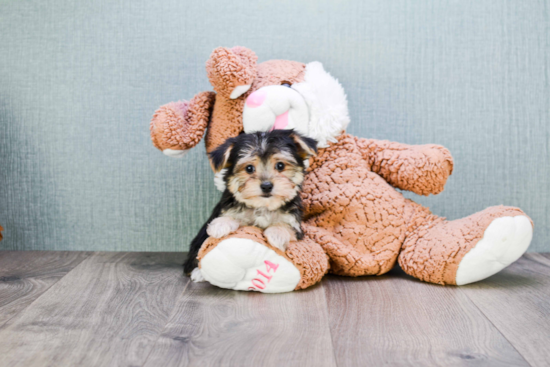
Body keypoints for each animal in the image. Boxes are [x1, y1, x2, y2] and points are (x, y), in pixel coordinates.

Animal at [183, 129, 316, 278]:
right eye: (249, 168)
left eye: (280, 165)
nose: (266, 186)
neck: (262, 206)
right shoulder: (229, 210)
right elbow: (232, 218)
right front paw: (220, 225)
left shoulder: (294, 223)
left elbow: (286, 226)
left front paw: (277, 234)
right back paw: (198, 273)